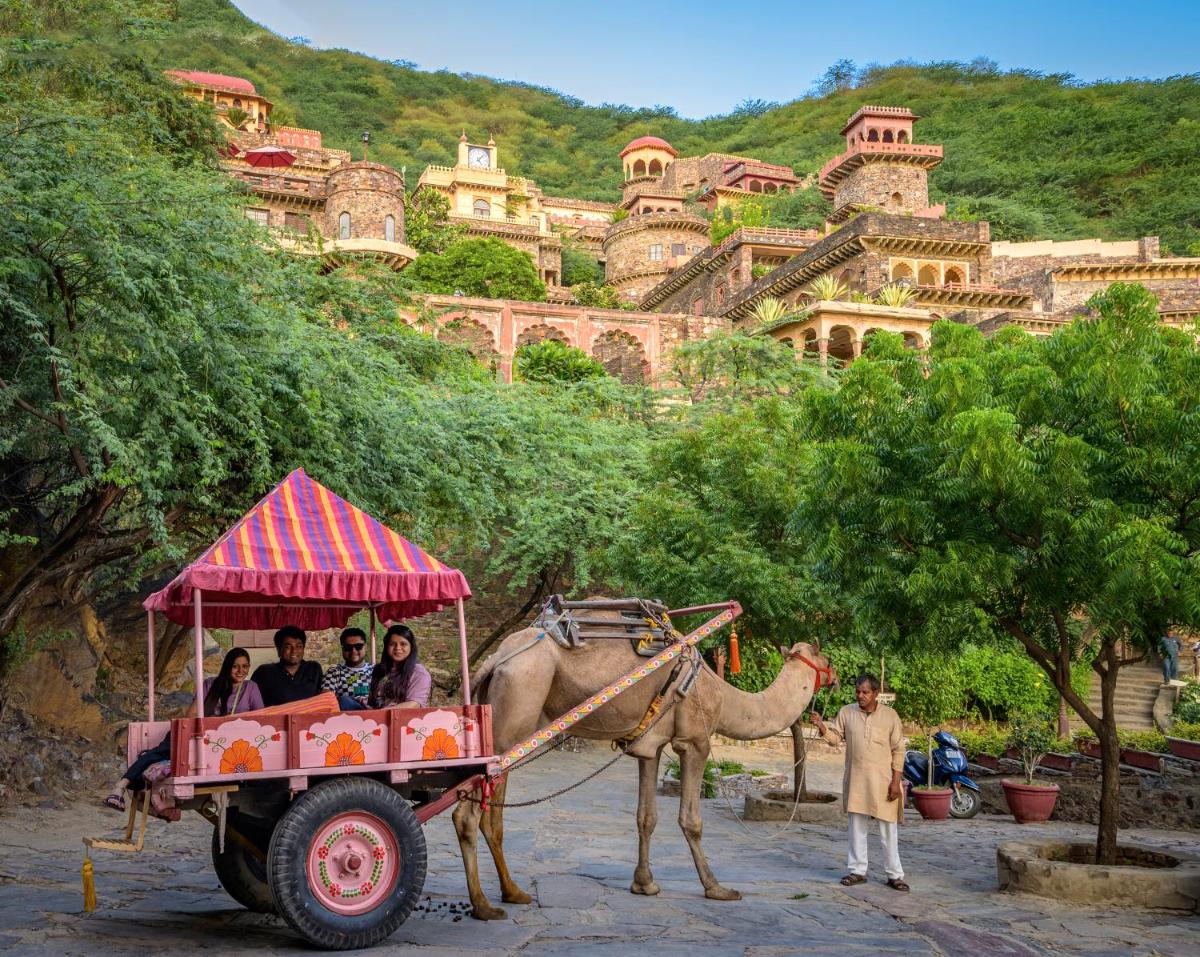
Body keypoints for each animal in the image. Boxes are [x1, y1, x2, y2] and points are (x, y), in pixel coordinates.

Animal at [452, 615, 836, 920]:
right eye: (827, 658)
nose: (836, 678)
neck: (725, 698)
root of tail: (495, 660)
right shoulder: (694, 742)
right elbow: (691, 821)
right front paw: (717, 888)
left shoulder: (651, 748)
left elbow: (645, 817)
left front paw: (644, 884)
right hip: (515, 713)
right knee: (468, 813)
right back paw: (484, 906)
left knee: (492, 817)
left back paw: (512, 892)